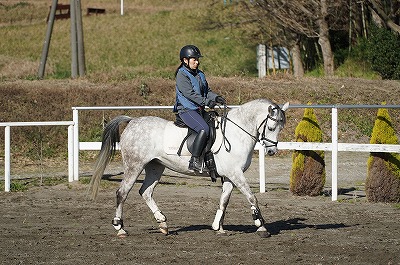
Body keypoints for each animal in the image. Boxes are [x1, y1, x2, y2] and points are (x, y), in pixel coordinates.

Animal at [89, 98, 290, 237]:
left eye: (281, 127)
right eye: (272, 126)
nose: (271, 151)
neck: (236, 133)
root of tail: (132, 122)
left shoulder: (230, 175)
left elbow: (224, 201)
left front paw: (218, 227)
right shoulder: (235, 174)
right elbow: (252, 197)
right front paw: (261, 226)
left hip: (155, 167)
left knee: (145, 192)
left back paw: (163, 224)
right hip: (134, 165)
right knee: (122, 193)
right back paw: (120, 228)